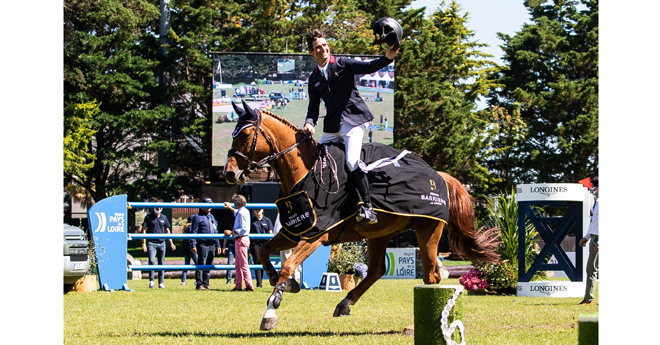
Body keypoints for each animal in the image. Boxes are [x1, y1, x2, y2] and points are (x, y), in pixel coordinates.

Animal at [224, 103, 498, 330]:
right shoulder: (295, 230)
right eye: (233, 134)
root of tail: (438, 175)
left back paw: (419, 324)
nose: (229, 173)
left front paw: (271, 309)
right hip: (380, 234)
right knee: (376, 270)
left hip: (427, 229)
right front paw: (285, 284)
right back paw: (345, 303)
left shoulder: (316, 235)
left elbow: (288, 265)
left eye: (245, 135)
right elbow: (263, 251)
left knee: (431, 275)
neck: (304, 172)